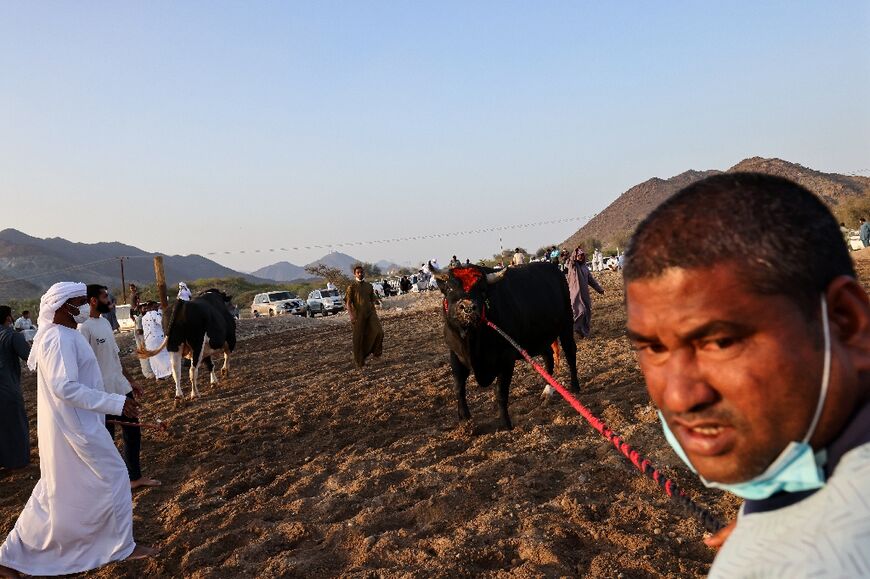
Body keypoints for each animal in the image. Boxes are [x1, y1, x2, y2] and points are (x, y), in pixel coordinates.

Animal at [436, 262, 580, 430]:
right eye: (449, 288)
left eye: (482, 289)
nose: (468, 307)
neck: (473, 341)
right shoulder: (455, 354)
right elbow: (458, 388)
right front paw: (465, 420)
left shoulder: (506, 358)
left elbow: (501, 392)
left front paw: (506, 424)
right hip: (542, 337)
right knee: (548, 358)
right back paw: (547, 391)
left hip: (566, 325)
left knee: (570, 352)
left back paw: (575, 387)